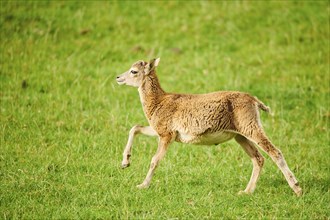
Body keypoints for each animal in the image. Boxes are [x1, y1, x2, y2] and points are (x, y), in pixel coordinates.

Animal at [116, 58, 302, 196]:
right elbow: (135, 128)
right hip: (240, 135)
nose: (118, 77)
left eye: (134, 71)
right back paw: (246, 192)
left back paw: (297, 188)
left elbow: (155, 160)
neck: (158, 101)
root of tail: (254, 100)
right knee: (258, 158)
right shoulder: (159, 130)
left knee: (274, 152)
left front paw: (142, 185)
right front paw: (125, 163)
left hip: (251, 128)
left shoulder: (167, 135)